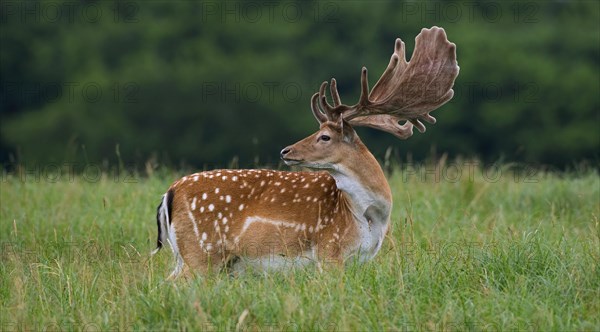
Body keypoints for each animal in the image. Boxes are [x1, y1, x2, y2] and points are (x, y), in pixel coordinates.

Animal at [152, 27, 458, 278]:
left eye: (325, 136)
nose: (286, 150)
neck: (370, 215)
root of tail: (170, 192)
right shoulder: (329, 250)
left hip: (192, 257)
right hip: (202, 252)